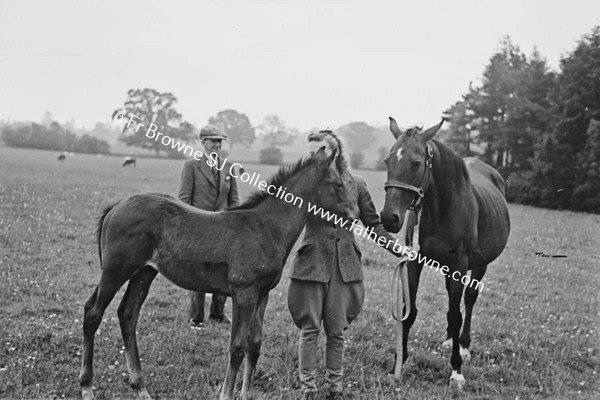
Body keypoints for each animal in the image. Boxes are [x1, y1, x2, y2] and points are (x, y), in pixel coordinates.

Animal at [81, 149, 358, 400]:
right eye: (338, 184)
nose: (355, 217)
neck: (266, 228)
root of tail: (116, 206)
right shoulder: (244, 294)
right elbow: (237, 346)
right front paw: (227, 394)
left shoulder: (262, 295)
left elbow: (254, 344)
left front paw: (246, 394)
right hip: (116, 270)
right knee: (93, 312)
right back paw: (87, 387)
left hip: (143, 272)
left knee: (128, 314)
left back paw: (140, 388)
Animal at [382, 117, 508, 392]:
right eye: (387, 160)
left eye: (416, 163)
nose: (389, 218)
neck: (444, 207)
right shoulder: (415, 262)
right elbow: (410, 311)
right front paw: (399, 362)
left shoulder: (461, 263)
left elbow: (456, 313)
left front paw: (456, 370)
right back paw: (451, 339)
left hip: (479, 264)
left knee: (468, 300)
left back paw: (464, 345)